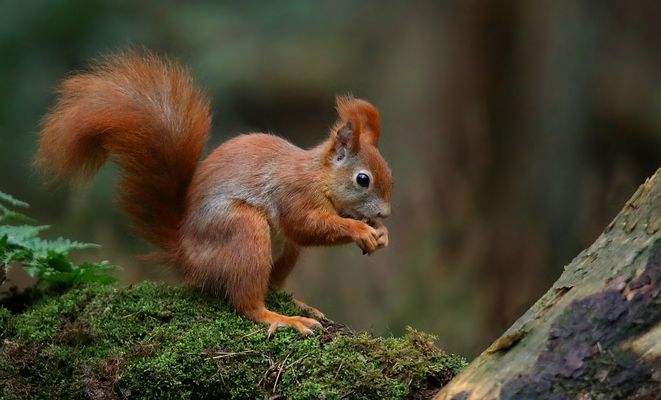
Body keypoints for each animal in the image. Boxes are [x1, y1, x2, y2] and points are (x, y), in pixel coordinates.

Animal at [36, 52, 392, 335]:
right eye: (363, 179)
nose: (385, 214)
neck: (318, 176)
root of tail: (186, 256)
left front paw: (381, 233)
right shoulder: (293, 193)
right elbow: (305, 225)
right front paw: (360, 229)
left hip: (283, 252)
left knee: (271, 284)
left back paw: (300, 304)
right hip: (244, 231)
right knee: (247, 302)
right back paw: (282, 318)